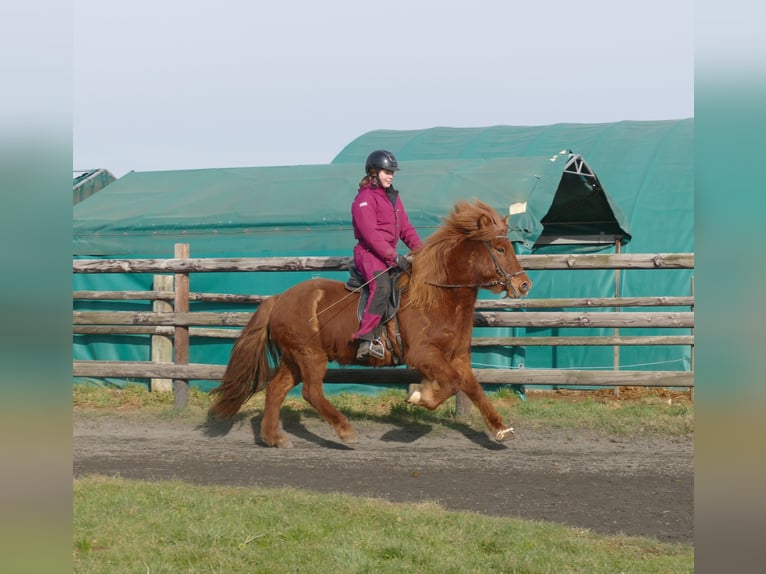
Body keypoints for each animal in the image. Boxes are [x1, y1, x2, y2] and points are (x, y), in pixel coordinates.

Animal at [210, 200, 536, 448]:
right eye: (499, 248)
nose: (524, 285)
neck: (438, 298)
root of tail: (278, 299)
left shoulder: (458, 358)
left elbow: (473, 388)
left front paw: (500, 429)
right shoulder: (423, 355)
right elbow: (452, 384)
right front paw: (421, 396)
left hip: (294, 358)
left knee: (276, 389)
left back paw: (273, 438)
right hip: (310, 355)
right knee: (311, 392)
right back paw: (344, 431)